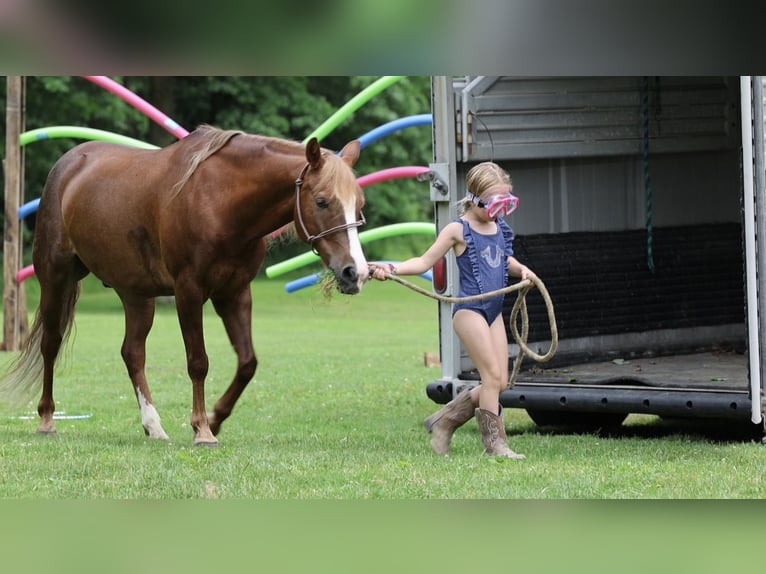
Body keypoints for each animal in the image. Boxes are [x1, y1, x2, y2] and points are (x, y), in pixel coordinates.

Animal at [0, 124, 369, 446]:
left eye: (359, 204)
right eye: (322, 201)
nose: (355, 272)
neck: (220, 201)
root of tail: (68, 165)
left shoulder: (234, 293)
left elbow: (247, 362)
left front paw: (216, 418)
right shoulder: (188, 292)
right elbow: (198, 362)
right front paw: (202, 429)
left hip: (136, 295)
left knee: (132, 353)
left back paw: (153, 425)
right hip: (55, 278)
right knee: (51, 344)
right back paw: (47, 419)